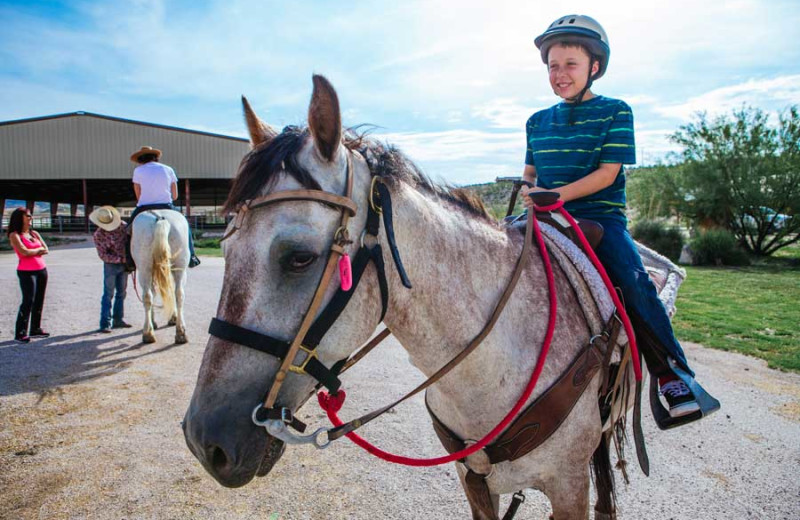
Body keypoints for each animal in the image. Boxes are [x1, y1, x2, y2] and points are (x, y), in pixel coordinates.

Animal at [130, 207, 190, 346]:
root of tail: (160, 218)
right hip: (179, 267)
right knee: (178, 294)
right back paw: (180, 333)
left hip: (145, 269)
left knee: (148, 296)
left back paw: (148, 333)